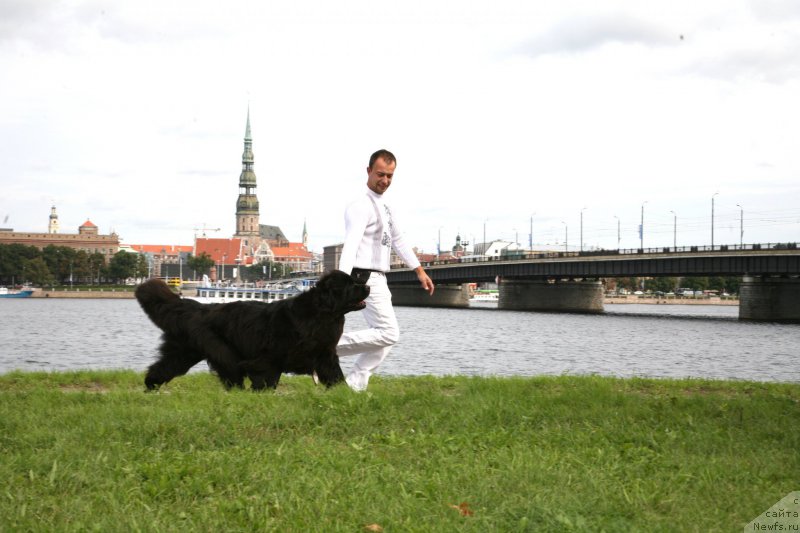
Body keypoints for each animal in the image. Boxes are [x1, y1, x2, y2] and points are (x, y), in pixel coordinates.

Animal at [135, 272, 368, 388]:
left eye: (356, 281)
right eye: (350, 285)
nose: (367, 286)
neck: (321, 313)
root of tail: (199, 308)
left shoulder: (325, 354)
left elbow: (336, 376)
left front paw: (344, 393)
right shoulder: (269, 358)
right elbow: (266, 379)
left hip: (184, 352)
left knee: (162, 368)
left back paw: (150, 386)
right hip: (222, 352)